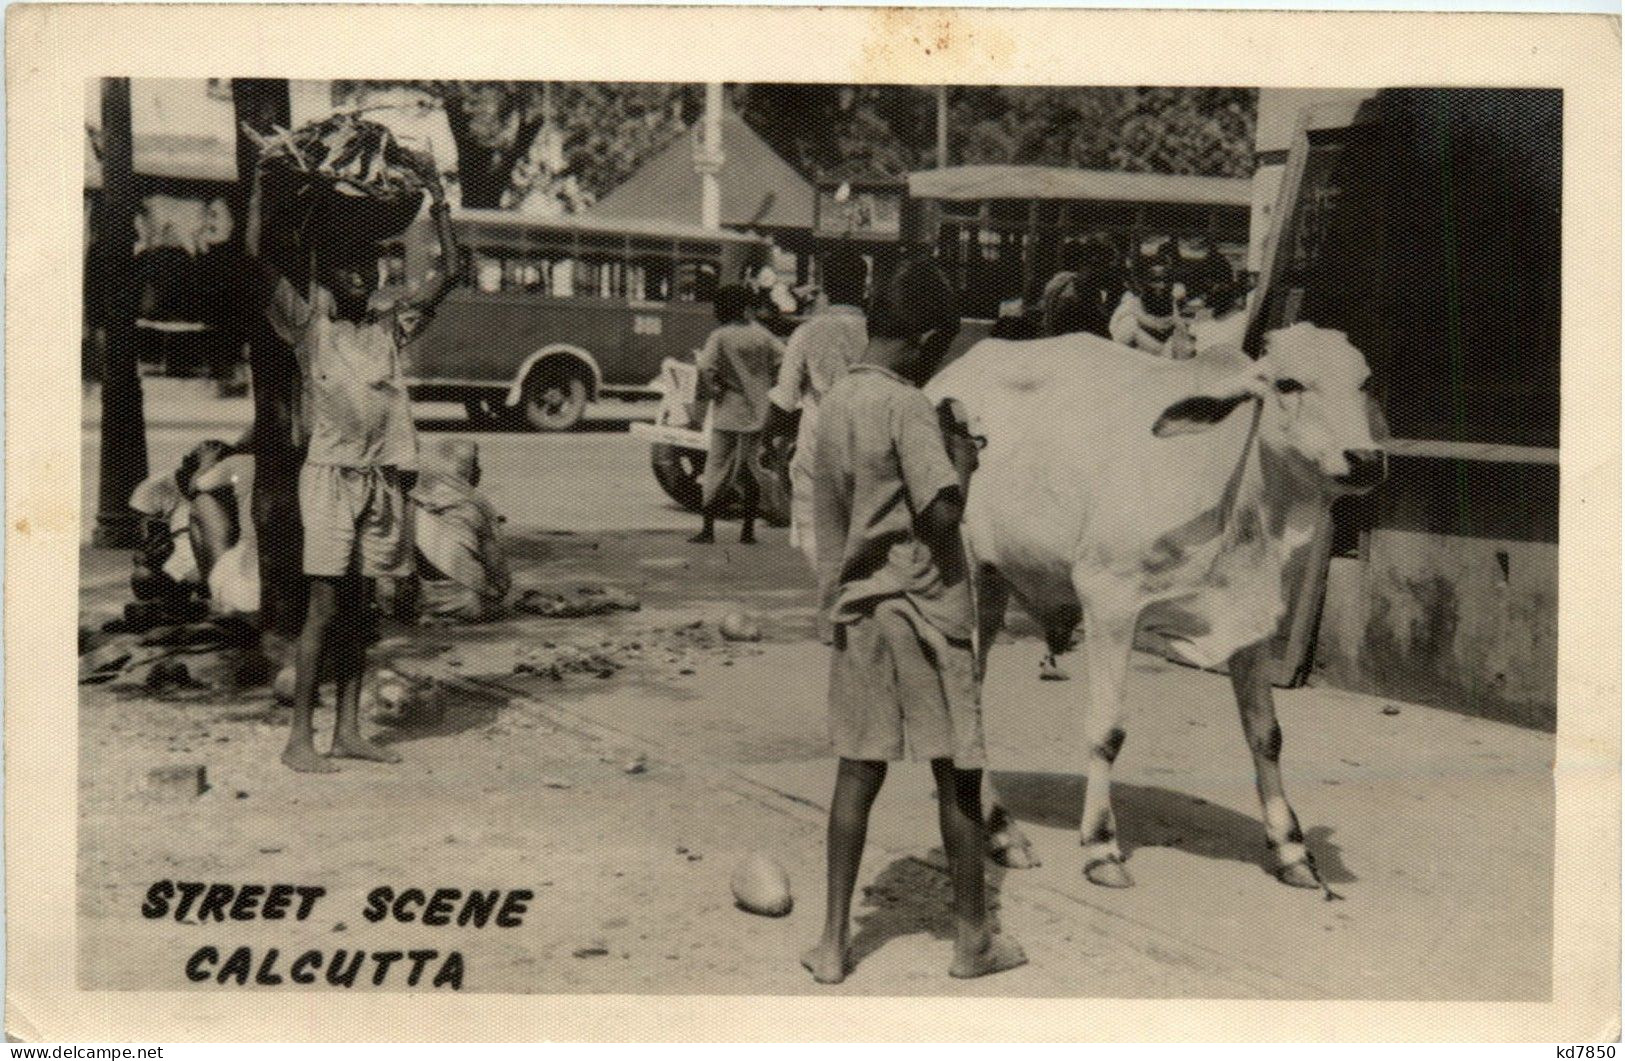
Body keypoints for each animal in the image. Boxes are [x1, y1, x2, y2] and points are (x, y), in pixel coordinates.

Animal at [929, 320, 1384, 883]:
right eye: (1288, 384)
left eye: (1364, 381)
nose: (1365, 459)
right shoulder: (1109, 599)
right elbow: (1107, 729)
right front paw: (1101, 845)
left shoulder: (1251, 625)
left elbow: (1267, 734)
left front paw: (1292, 849)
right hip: (965, 578)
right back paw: (1002, 830)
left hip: (994, 585)